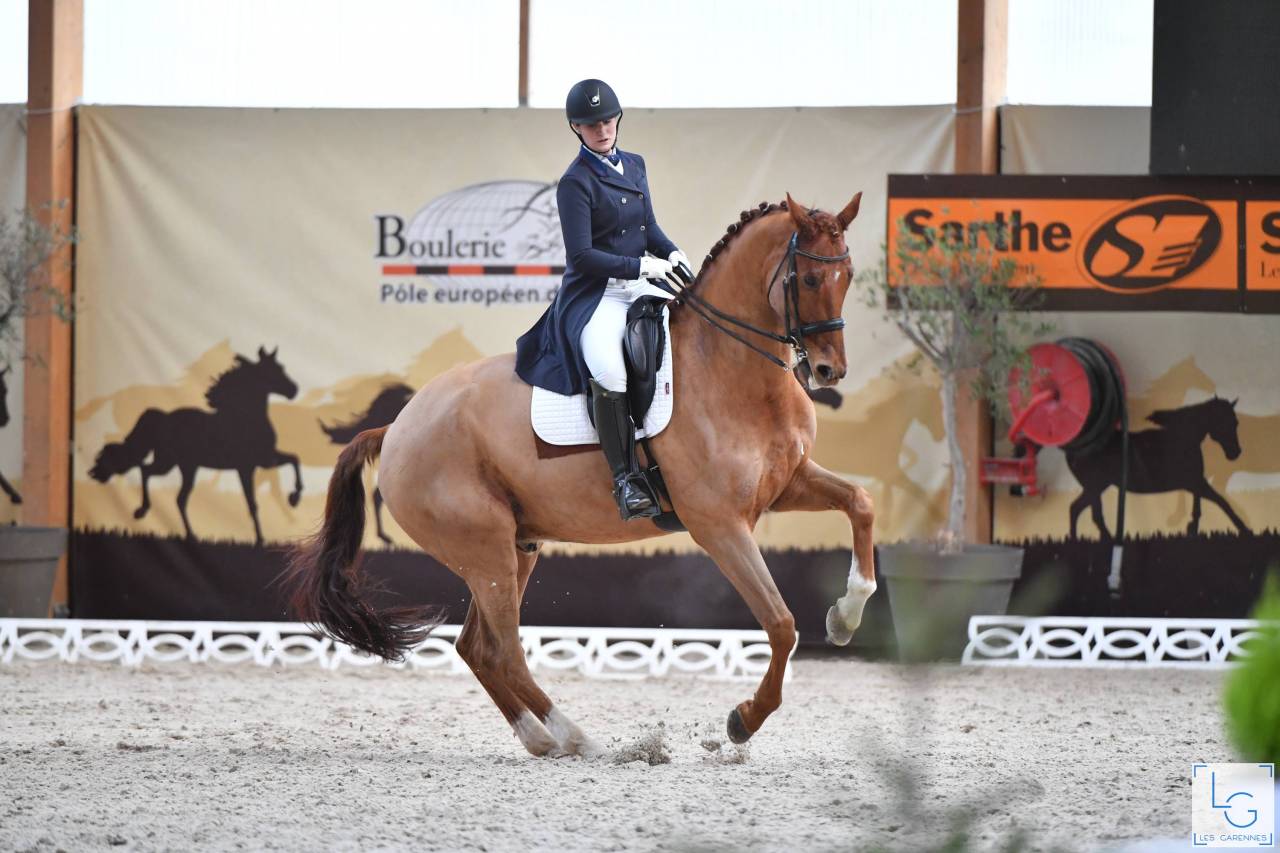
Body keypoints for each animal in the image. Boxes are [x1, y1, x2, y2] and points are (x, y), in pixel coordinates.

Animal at [89, 346, 303, 546]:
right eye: (274, 370)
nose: (294, 390)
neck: (246, 419)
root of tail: (164, 418)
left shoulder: (266, 459)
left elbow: (294, 458)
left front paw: (293, 498)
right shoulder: (248, 467)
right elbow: (252, 503)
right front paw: (261, 539)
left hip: (185, 467)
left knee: (177, 497)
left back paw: (191, 536)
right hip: (169, 463)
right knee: (148, 472)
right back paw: (142, 511)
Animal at [1066, 396, 1250, 539]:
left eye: (1235, 422)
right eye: (1223, 422)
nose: (1235, 452)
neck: (1184, 438)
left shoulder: (1194, 482)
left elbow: (1201, 505)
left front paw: (1192, 528)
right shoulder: (1193, 482)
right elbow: (1221, 502)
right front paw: (1245, 530)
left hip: (1096, 488)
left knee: (1081, 510)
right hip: (1095, 487)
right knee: (1081, 510)